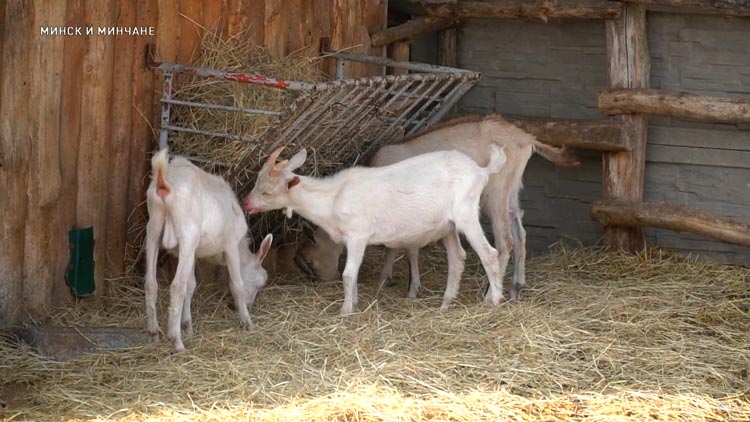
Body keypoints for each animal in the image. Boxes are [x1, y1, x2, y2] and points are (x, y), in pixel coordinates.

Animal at [144, 147, 274, 352]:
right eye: (262, 283)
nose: (249, 305)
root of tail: (165, 184)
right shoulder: (230, 245)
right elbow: (237, 284)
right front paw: (247, 322)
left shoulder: (193, 253)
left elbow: (191, 285)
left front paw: (188, 326)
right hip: (187, 234)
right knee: (176, 287)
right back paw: (177, 342)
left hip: (154, 229)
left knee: (151, 283)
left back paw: (153, 334)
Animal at [247, 145, 512, 314]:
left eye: (267, 192)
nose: (247, 204)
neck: (333, 198)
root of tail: (481, 171)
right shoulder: (351, 240)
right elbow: (352, 274)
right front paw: (353, 304)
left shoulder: (358, 235)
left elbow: (348, 274)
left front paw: (345, 310)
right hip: (448, 226)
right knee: (458, 257)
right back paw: (446, 304)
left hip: (466, 214)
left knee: (489, 253)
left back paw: (494, 300)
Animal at [296, 113, 580, 300]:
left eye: (310, 259)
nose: (320, 280)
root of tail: (525, 138)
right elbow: (393, 246)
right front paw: (385, 278)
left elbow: (408, 248)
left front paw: (410, 288)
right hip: (511, 189)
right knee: (520, 233)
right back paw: (516, 288)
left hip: (494, 192)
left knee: (504, 241)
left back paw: (491, 294)